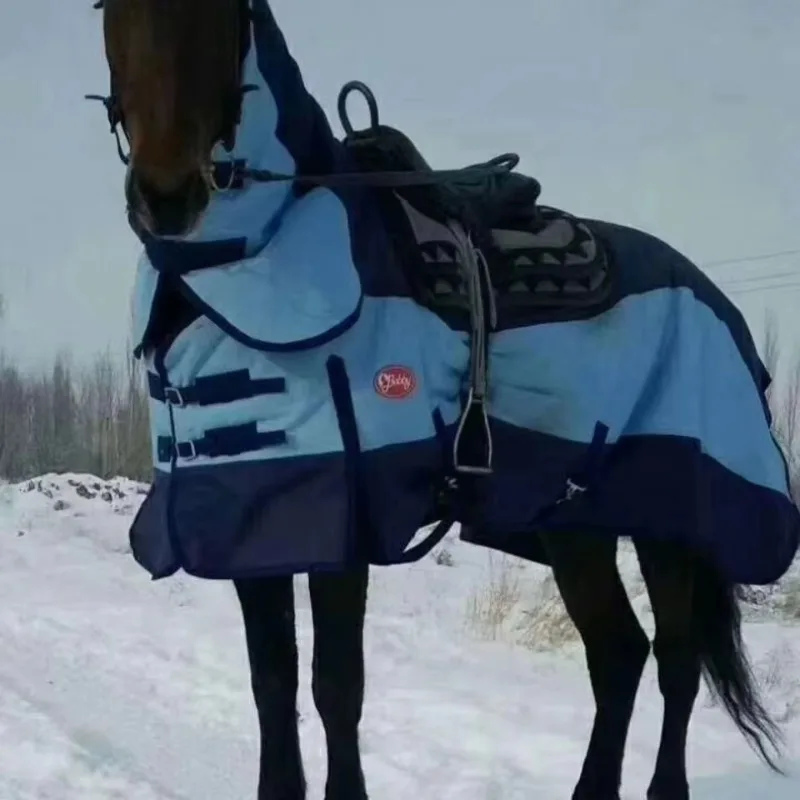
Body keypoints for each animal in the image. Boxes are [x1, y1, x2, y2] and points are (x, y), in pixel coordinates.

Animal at [91, 1, 800, 799]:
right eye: (107, 11)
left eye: (220, 13)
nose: (166, 195)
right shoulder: (249, 517)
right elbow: (271, 685)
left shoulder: (342, 514)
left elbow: (336, 686)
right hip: (575, 521)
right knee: (620, 654)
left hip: (671, 519)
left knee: (676, 662)